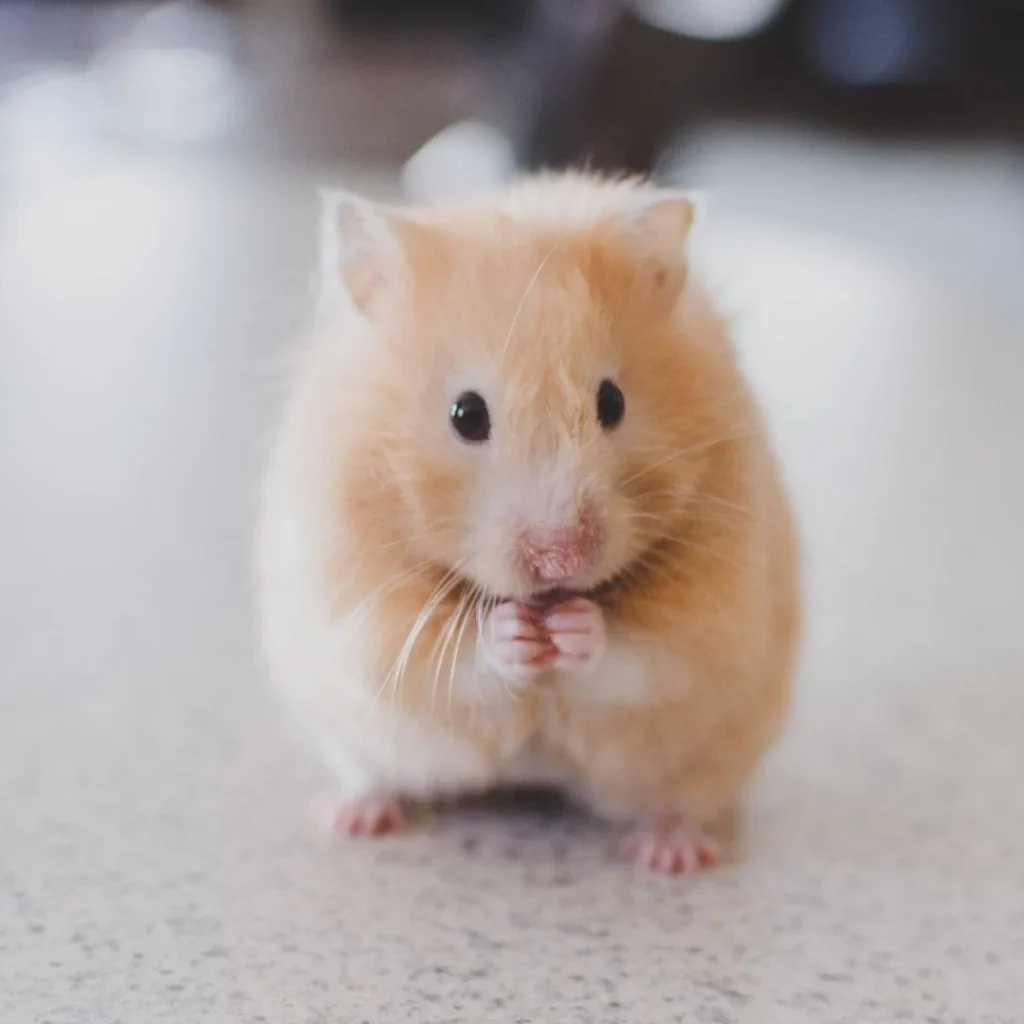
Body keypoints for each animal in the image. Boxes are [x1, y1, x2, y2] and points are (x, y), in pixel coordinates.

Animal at [256, 171, 800, 874]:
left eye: (612, 402)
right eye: (466, 415)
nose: (562, 559)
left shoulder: (714, 610)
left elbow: (643, 652)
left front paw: (573, 628)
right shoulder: (360, 606)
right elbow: (449, 655)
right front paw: (515, 633)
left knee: (680, 802)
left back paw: (670, 855)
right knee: (372, 773)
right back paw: (351, 817)